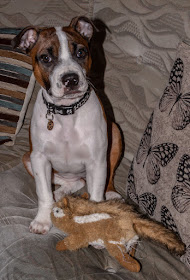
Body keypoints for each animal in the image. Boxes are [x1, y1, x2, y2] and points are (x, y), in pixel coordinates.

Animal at [12, 17, 121, 234]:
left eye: (81, 53)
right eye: (45, 58)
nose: (70, 79)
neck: (66, 112)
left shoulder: (97, 162)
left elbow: (96, 196)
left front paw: (95, 224)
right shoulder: (39, 159)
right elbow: (44, 193)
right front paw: (42, 220)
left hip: (115, 133)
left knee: (107, 177)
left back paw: (111, 194)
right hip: (27, 158)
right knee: (73, 181)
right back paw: (60, 193)